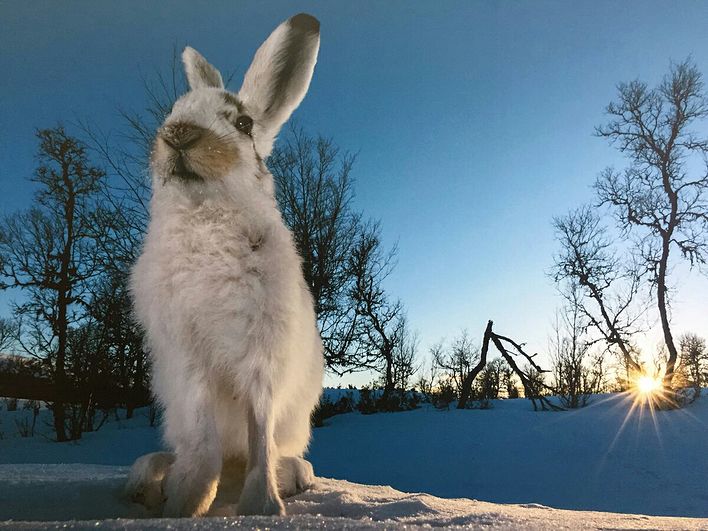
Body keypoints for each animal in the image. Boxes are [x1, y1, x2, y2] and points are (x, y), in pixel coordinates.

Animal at [125, 13, 324, 518]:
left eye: (243, 122)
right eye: (175, 109)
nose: (178, 134)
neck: (206, 213)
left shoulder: (263, 358)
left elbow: (261, 432)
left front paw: (264, 506)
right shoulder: (189, 359)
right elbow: (204, 437)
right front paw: (186, 502)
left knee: (278, 451)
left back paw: (293, 477)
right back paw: (147, 482)